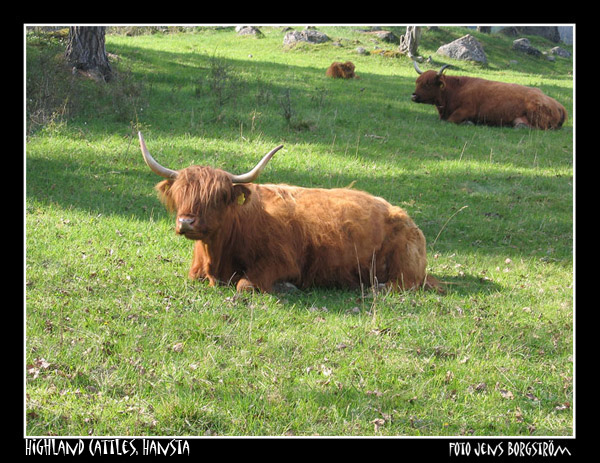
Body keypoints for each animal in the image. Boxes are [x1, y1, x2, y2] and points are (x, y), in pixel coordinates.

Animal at [141, 132, 440, 294]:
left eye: (218, 197)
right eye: (181, 194)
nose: (186, 222)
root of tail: (405, 217)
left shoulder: (282, 262)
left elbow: (245, 284)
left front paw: (286, 287)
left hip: (404, 269)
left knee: (404, 284)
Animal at [410, 61, 564, 130]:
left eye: (428, 84)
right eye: (417, 81)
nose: (414, 96)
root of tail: (557, 104)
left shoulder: (466, 110)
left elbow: (451, 120)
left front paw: (469, 122)